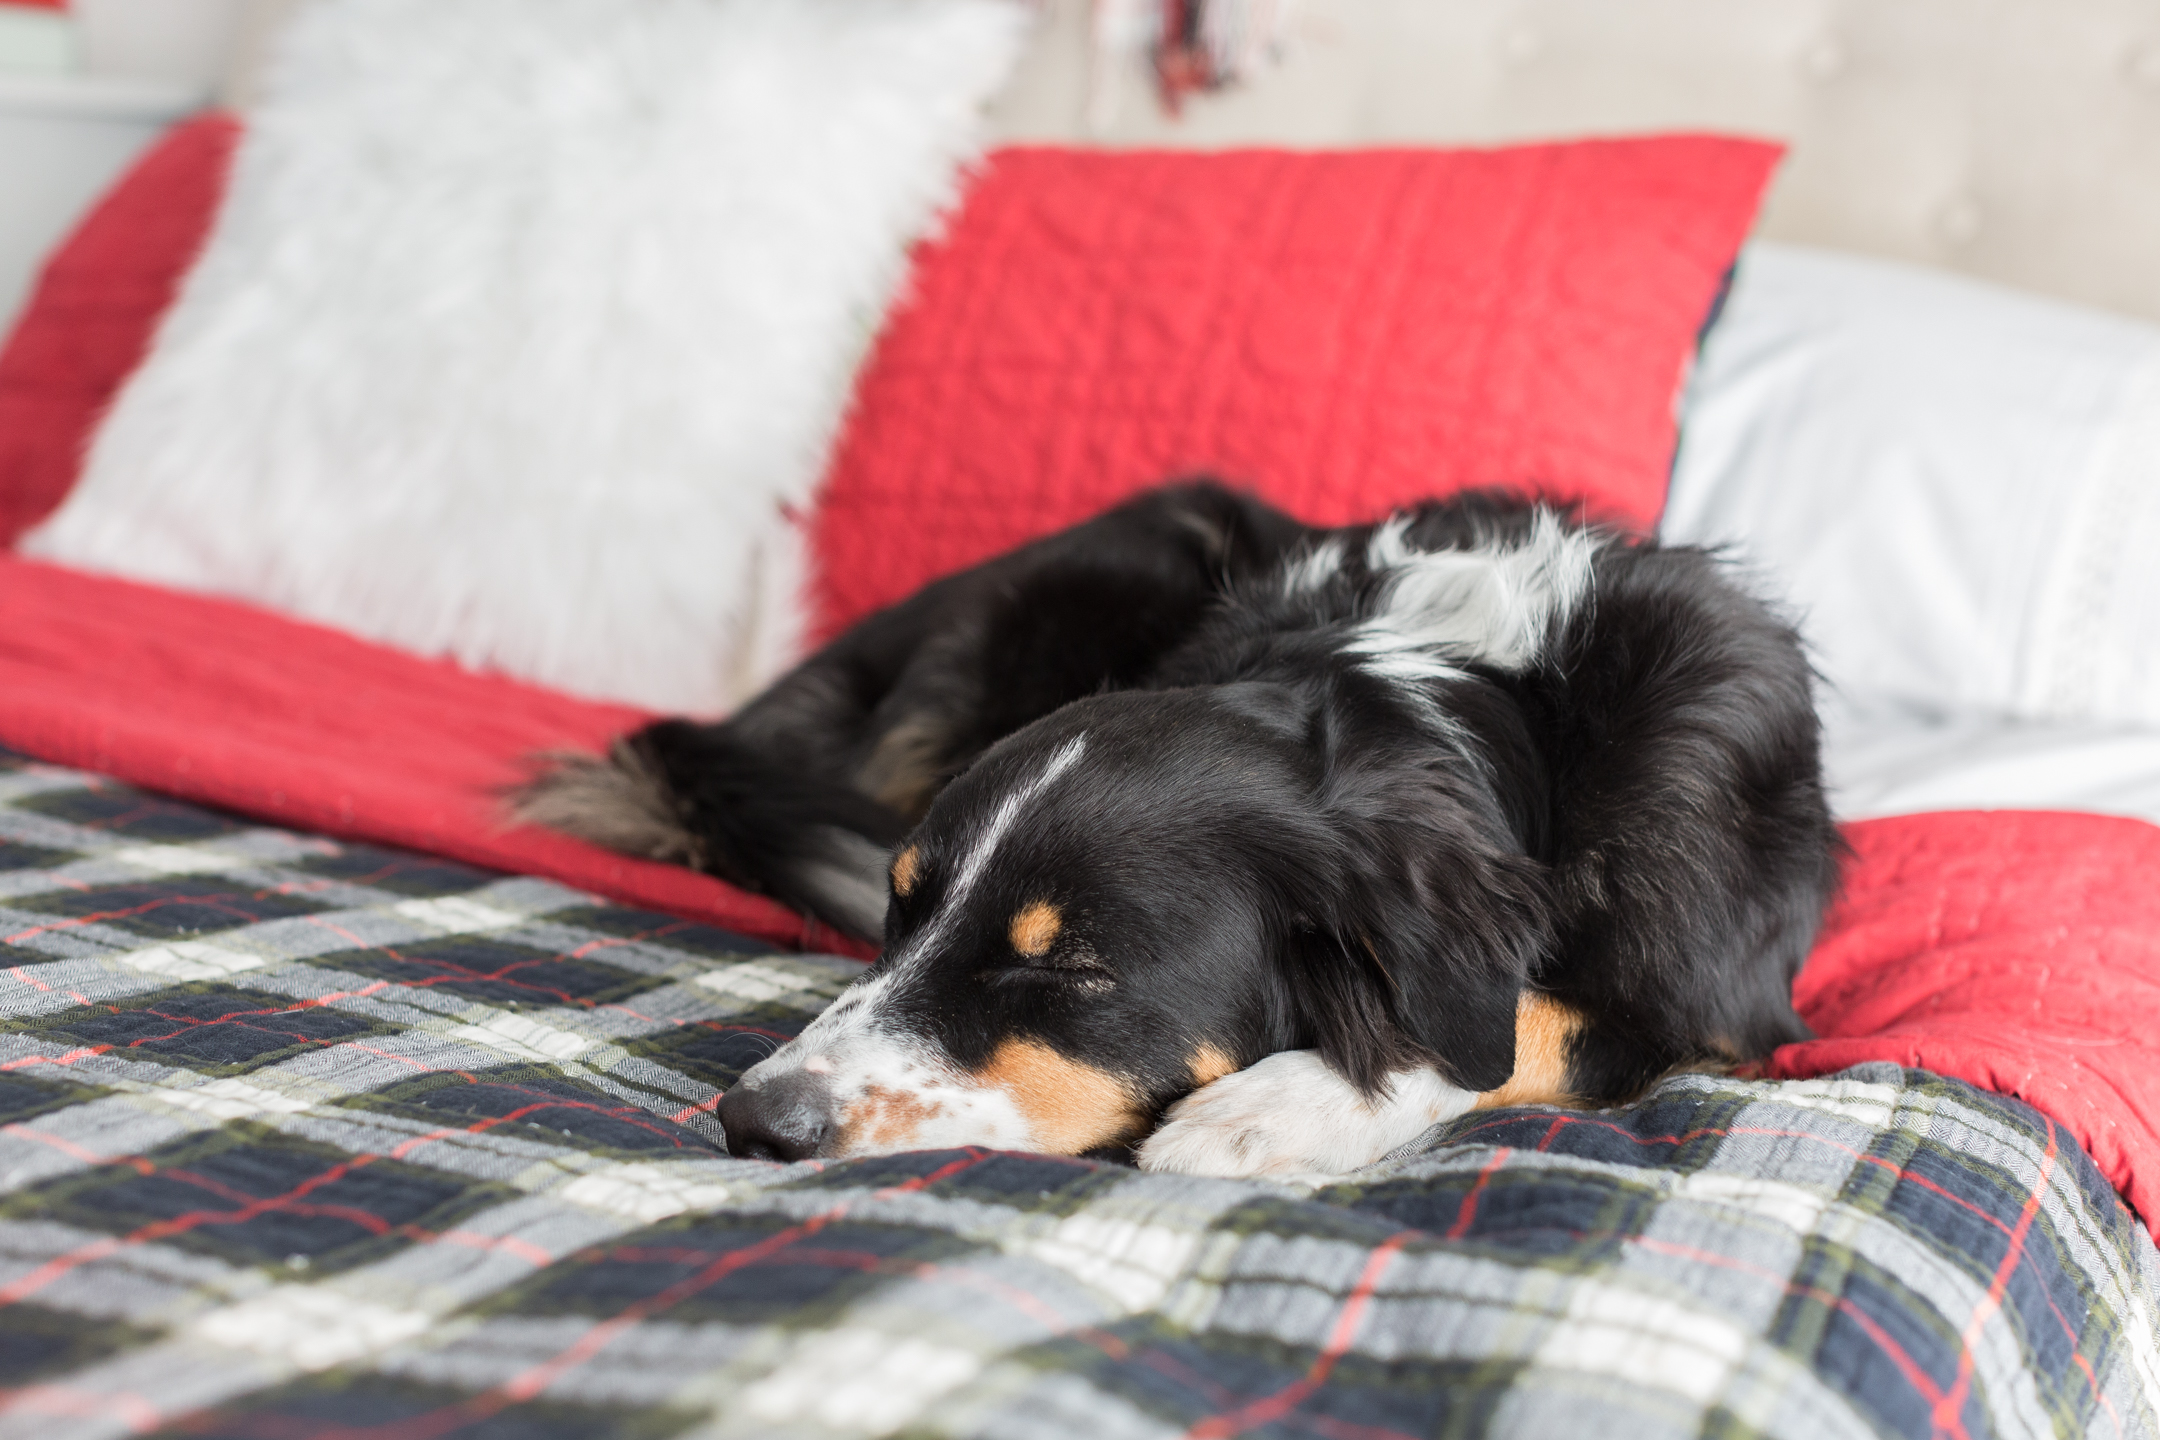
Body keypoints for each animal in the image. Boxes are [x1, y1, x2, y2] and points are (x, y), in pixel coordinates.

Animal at [514, 483, 1831, 1174]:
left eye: (1075, 972)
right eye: (902, 915)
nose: (752, 1124)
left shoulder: (1721, 1005)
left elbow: (1519, 1028)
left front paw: (1275, 1110)